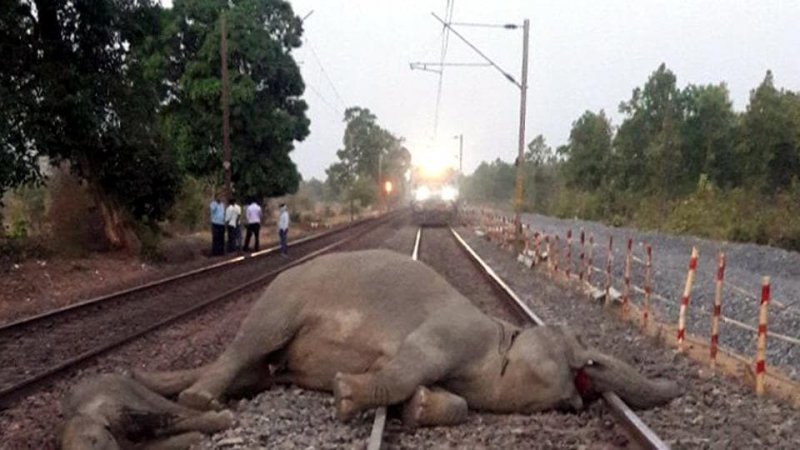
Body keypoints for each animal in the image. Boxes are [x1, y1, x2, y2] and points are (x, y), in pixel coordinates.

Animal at [131, 249, 680, 430]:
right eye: (575, 342)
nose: (583, 395)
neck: (502, 341)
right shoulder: (449, 332)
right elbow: (411, 363)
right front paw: (345, 393)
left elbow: (456, 401)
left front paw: (419, 409)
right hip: (280, 300)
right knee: (248, 344)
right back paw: (199, 400)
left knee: (255, 369)